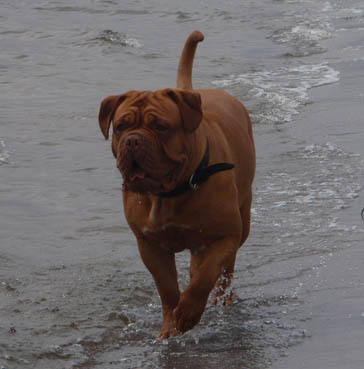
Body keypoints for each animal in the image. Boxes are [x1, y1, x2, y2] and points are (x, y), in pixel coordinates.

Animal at [98, 30, 255, 338]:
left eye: (160, 127)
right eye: (121, 126)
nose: (133, 140)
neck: (170, 193)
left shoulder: (224, 236)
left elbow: (206, 276)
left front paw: (189, 312)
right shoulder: (149, 246)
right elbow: (167, 288)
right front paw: (171, 324)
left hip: (242, 221)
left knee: (224, 270)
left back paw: (223, 298)